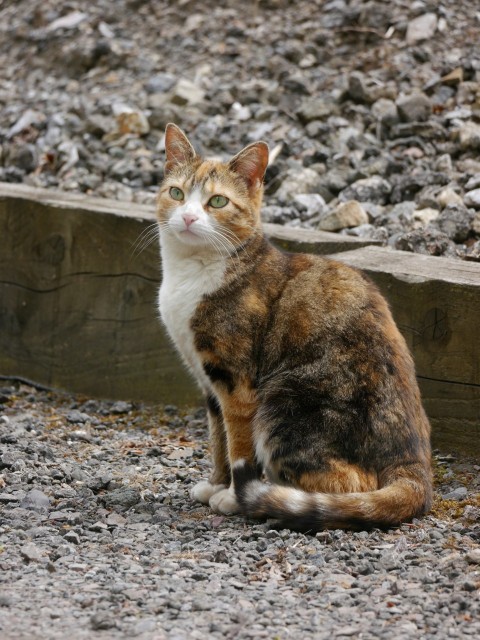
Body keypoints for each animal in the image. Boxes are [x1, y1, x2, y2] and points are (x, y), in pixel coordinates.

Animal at [157, 124, 432, 528]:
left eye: (218, 202)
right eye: (176, 193)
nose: (189, 218)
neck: (193, 272)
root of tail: (413, 464)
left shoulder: (236, 382)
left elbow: (237, 442)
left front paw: (232, 496)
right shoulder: (209, 382)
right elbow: (218, 438)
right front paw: (217, 484)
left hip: (284, 404)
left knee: (351, 486)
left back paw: (275, 497)